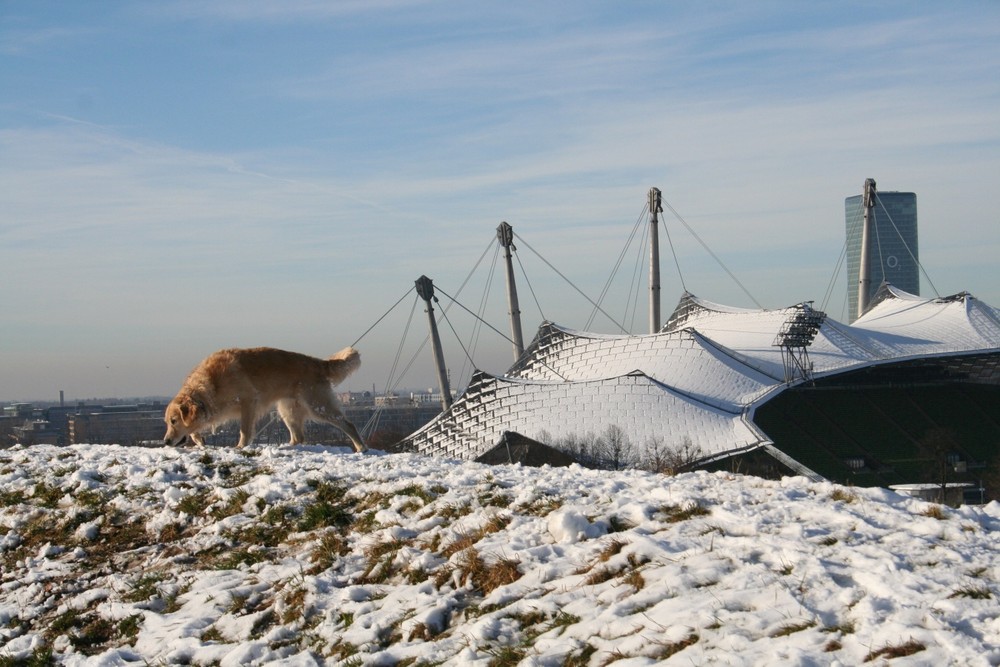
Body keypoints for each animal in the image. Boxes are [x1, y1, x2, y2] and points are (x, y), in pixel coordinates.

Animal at [160, 348, 368, 452]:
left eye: (174, 421)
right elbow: (194, 430)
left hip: (318, 405)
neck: (211, 383)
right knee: (298, 437)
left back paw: (361, 447)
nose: (166, 441)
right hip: (287, 411)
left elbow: (244, 429)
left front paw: (240, 447)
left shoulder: (248, 401)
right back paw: (287, 447)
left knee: (348, 424)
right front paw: (200, 441)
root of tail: (319, 362)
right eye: (168, 422)